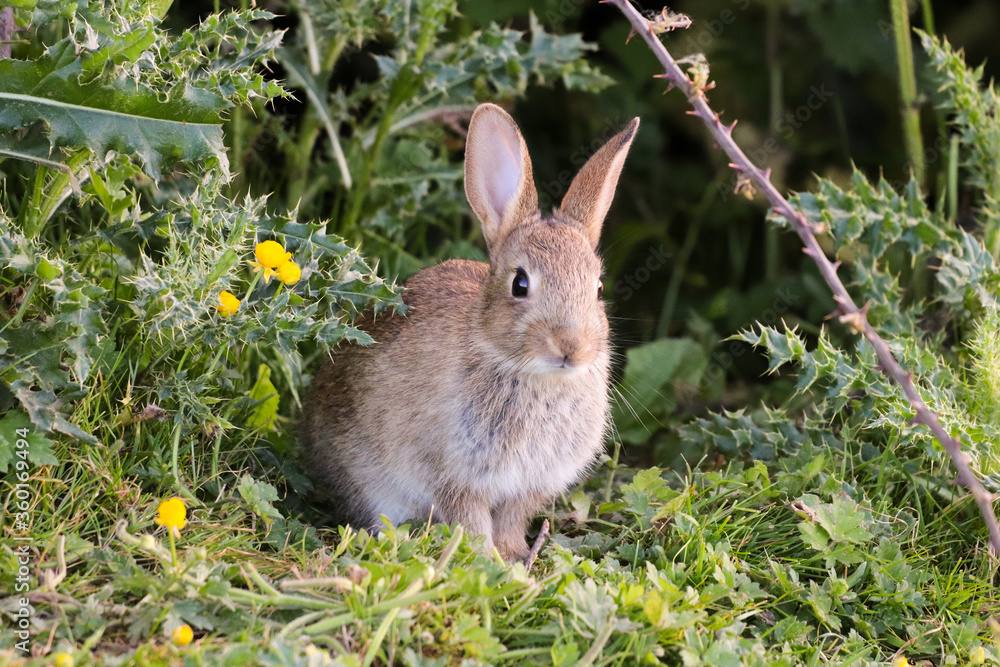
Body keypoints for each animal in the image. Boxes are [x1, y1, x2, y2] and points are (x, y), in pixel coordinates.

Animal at [301, 103, 639, 561]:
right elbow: (471, 521)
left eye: (599, 289)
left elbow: (512, 519)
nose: (571, 347)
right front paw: (488, 560)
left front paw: (514, 556)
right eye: (520, 284)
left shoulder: (528, 487)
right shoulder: (455, 476)